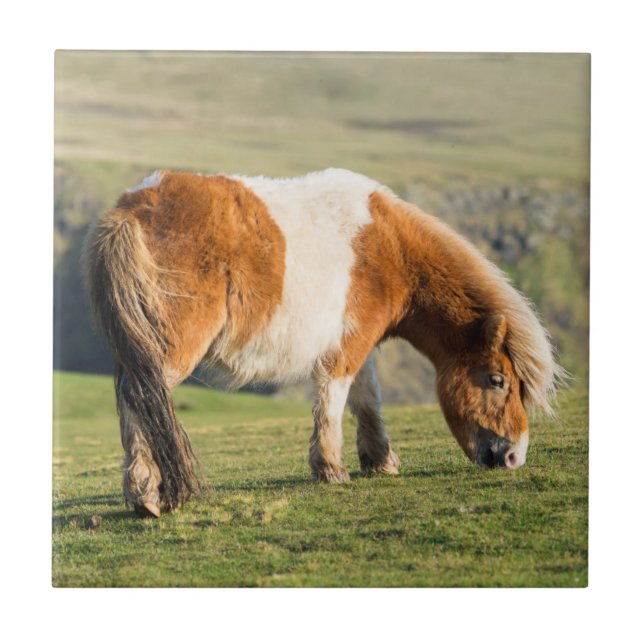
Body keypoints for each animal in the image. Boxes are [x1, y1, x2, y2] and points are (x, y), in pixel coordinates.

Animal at [83, 168, 562, 517]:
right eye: (498, 380)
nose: (513, 457)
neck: (388, 247)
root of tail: (130, 209)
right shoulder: (348, 345)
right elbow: (334, 398)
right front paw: (332, 468)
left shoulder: (362, 344)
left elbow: (367, 400)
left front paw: (380, 461)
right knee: (142, 398)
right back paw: (146, 495)